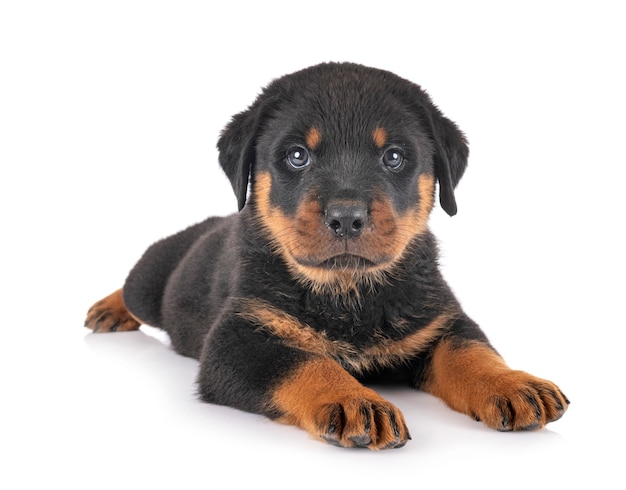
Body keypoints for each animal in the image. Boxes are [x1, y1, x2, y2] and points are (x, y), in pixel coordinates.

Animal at [85, 63, 568, 450]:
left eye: (393, 156)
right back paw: (108, 309)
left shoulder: (440, 320)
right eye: (297, 156)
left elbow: (471, 350)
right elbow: (304, 361)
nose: (347, 217)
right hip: (152, 282)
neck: (348, 292)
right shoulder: (235, 340)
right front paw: (352, 399)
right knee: (131, 289)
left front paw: (512, 382)